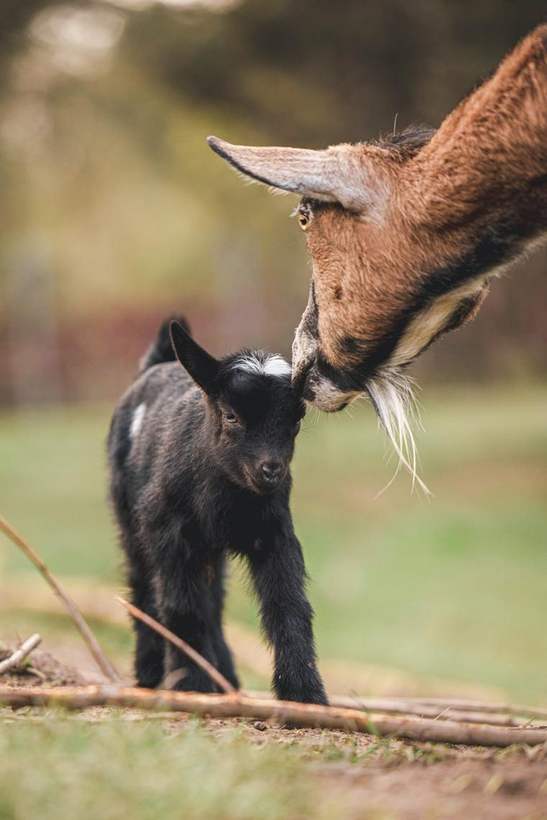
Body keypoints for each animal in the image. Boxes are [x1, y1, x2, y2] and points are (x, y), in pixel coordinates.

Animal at [108, 316, 327, 704]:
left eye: (297, 420)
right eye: (231, 416)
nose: (271, 470)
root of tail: (157, 364)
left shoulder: (274, 532)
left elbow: (288, 604)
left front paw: (303, 692)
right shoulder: (168, 530)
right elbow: (180, 605)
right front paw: (191, 684)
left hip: (210, 550)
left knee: (213, 600)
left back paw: (224, 675)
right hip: (131, 518)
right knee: (145, 586)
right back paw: (150, 672)